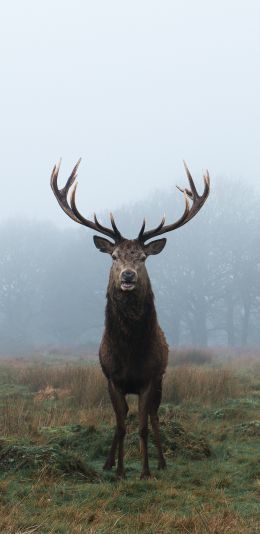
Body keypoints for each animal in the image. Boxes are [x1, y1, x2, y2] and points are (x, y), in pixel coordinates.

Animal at [50, 160, 209, 482]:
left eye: (143, 258)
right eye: (113, 256)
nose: (127, 276)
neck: (130, 353)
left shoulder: (149, 378)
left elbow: (143, 425)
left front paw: (145, 470)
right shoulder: (112, 378)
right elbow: (121, 425)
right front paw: (120, 470)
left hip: (161, 380)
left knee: (154, 416)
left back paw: (161, 462)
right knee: (121, 418)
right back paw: (109, 463)